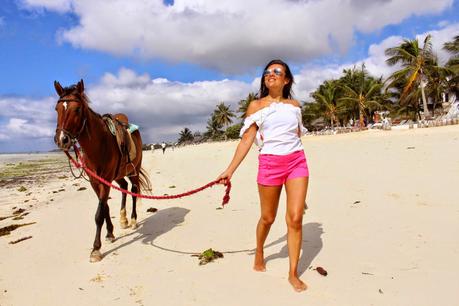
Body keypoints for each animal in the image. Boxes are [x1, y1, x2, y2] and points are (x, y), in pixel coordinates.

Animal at [53, 80, 151, 262]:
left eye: (77, 109)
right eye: (57, 109)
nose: (62, 139)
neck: (98, 145)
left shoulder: (105, 180)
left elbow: (99, 213)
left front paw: (96, 249)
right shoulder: (96, 181)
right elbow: (104, 207)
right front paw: (110, 233)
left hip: (133, 170)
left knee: (134, 190)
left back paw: (133, 220)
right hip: (119, 175)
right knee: (124, 187)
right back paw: (123, 219)